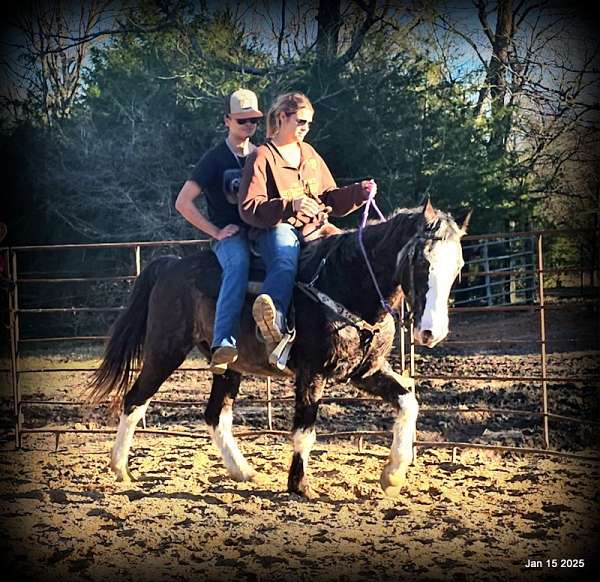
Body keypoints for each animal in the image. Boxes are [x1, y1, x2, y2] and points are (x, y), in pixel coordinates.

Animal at [88, 200, 468, 498]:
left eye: (459, 268)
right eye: (422, 262)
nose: (432, 332)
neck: (346, 282)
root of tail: (169, 265)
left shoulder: (365, 371)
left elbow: (408, 402)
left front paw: (393, 476)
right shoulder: (312, 372)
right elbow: (305, 430)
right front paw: (300, 486)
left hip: (228, 365)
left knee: (215, 415)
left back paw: (243, 471)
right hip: (165, 350)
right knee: (134, 400)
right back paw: (120, 469)